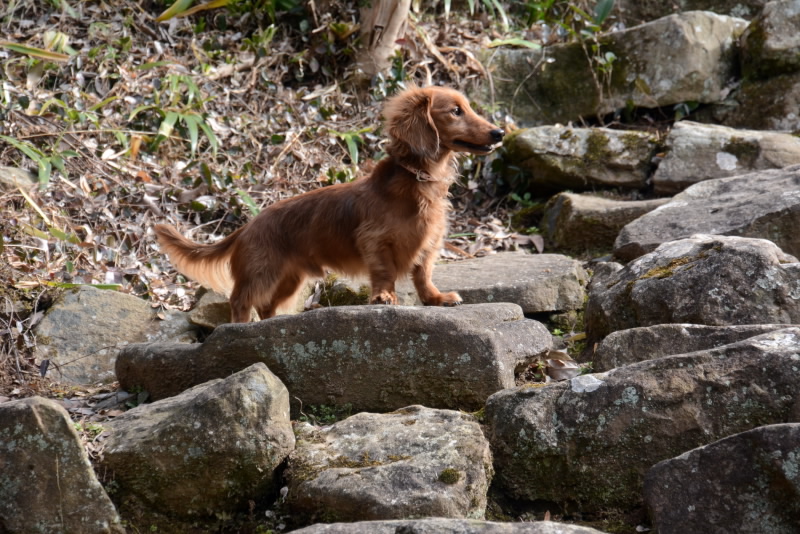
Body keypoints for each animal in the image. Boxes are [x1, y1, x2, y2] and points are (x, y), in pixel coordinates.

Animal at [154, 86, 504, 324]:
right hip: (261, 272)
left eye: (467, 107)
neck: (416, 181)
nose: (499, 132)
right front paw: (384, 296)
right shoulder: (375, 241)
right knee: (240, 300)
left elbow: (423, 275)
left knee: (266, 306)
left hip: (291, 279)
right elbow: (384, 272)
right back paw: (239, 328)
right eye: (455, 111)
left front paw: (436, 298)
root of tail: (247, 226)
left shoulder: (429, 243)